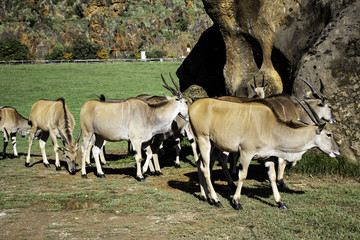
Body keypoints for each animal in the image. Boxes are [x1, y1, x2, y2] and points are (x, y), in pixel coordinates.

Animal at [190, 96, 338, 209]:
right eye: (329, 134)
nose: (337, 151)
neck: (270, 127)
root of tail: (194, 105)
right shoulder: (246, 153)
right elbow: (242, 175)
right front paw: (236, 202)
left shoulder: (268, 157)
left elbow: (272, 177)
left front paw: (280, 202)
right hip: (204, 140)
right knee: (205, 168)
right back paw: (216, 200)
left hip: (214, 145)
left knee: (201, 164)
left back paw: (205, 196)